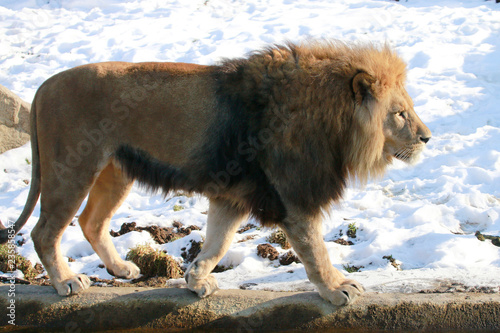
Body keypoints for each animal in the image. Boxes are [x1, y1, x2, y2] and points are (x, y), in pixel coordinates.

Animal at [0, 40, 430, 304]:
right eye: (400, 114)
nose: (427, 138)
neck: (331, 121)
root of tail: (44, 85)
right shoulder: (291, 197)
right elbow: (316, 251)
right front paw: (337, 288)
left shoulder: (234, 194)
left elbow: (217, 242)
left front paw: (196, 279)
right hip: (71, 170)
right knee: (45, 232)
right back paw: (66, 282)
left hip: (113, 173)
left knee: (91, 222)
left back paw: (122, 269)